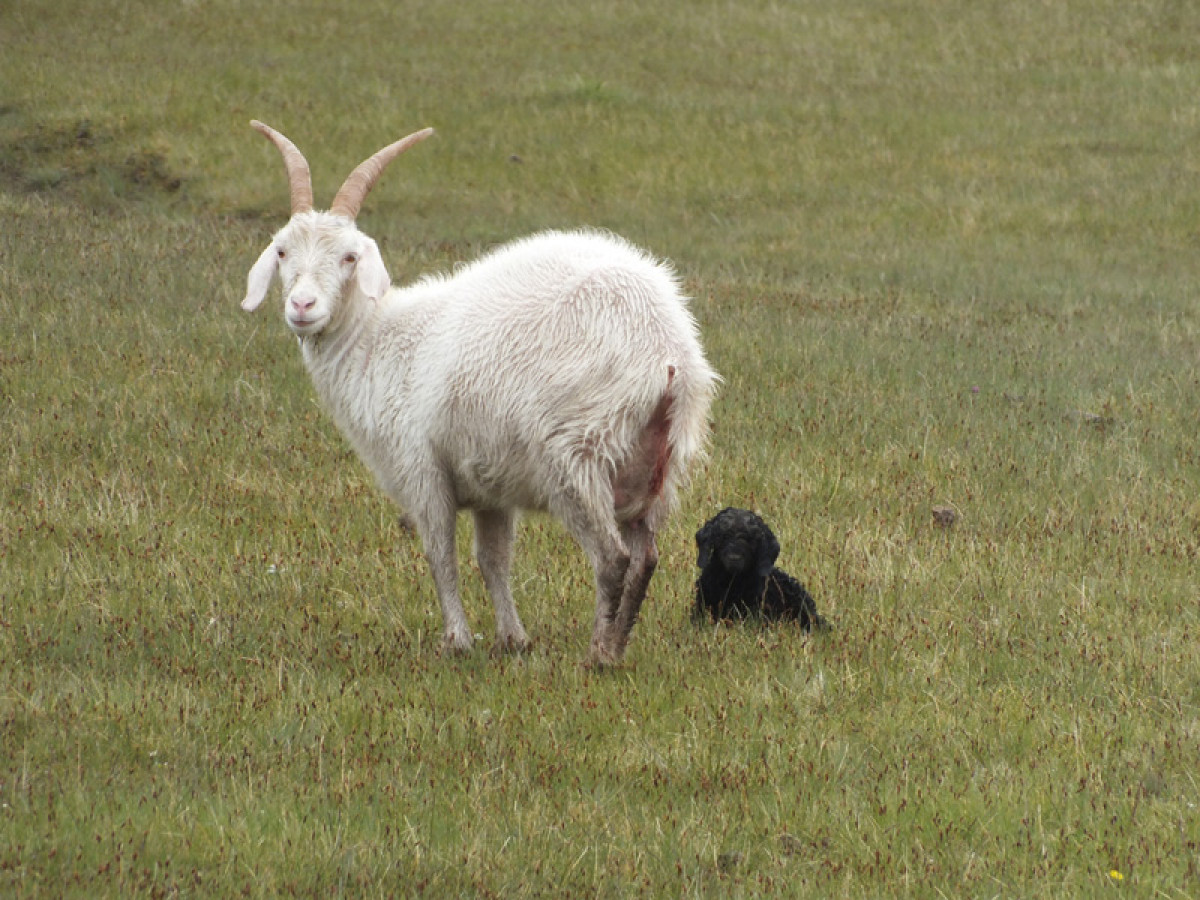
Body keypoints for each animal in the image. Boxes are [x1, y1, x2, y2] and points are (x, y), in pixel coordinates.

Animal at [240, 121, 718, 666]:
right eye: (281, 252)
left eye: (349, 256)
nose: (302, 306)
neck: (380, 342)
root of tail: (666, 353)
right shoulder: (491, 481)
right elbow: (493, 559)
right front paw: (513, 638)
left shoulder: (421, 468)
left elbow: (440, 554)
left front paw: (458, 640)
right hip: (659, 463)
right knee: (646, 557)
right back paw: (616, 646)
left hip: (578, 450)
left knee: (612, 558)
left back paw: (598, 655)